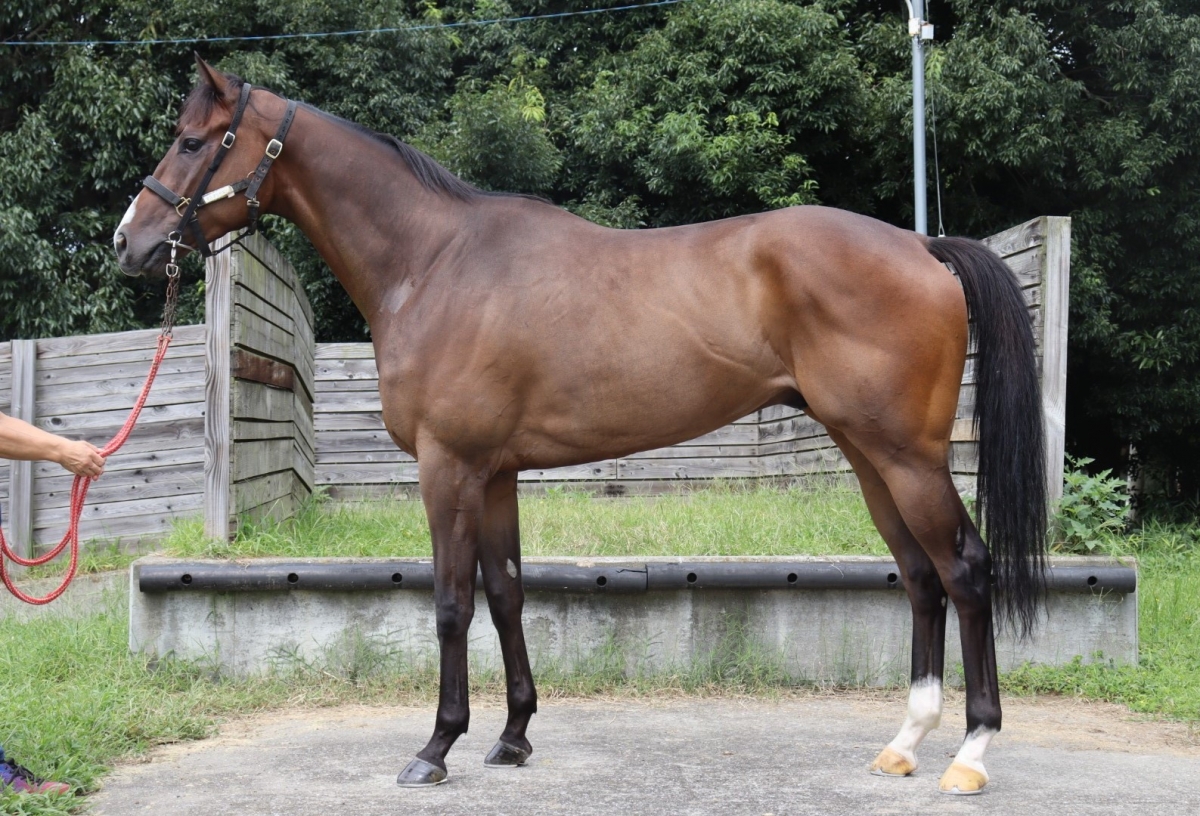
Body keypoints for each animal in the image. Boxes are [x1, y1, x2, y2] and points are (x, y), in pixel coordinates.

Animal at [115, 57, 1047, 795]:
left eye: (193, 142)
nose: (129, 242)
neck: (435, 262)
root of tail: (921, 247)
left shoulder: (448, 466)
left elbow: (451, 603)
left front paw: (436, 747)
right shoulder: (493, 472)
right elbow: (506, 594)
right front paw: (512, 737)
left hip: (907, 457)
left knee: (965, 570)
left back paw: (971, 753)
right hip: (868, 455)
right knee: (920, 577)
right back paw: (905, 744)